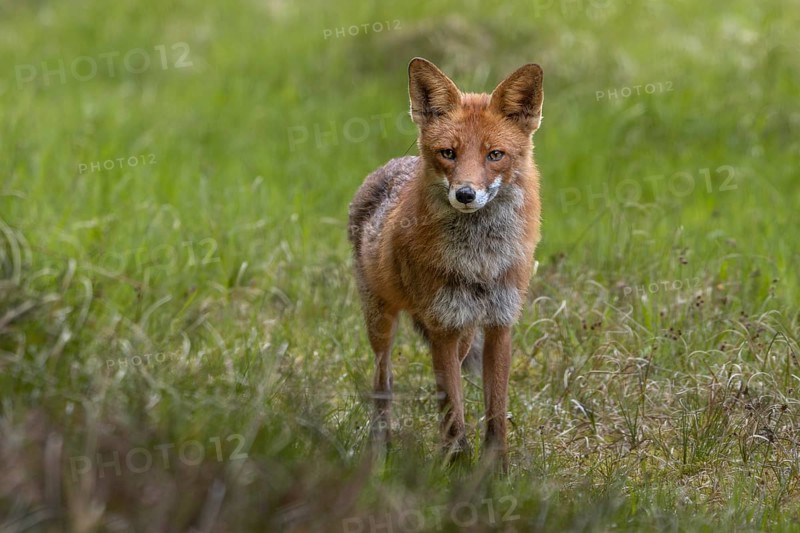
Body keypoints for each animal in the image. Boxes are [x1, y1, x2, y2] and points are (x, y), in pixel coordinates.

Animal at [348, 57, 543, 468]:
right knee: (383, 380)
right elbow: (454, 411)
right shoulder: (443, 327)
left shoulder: (499, 324)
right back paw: (380, 447)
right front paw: (456, 466)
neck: (480, 261)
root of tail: (392, 164)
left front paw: (496, 471)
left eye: (494, 154)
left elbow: (495, 411)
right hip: (380, 320)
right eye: (448, 153)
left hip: (467, 333)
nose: (465, 194)